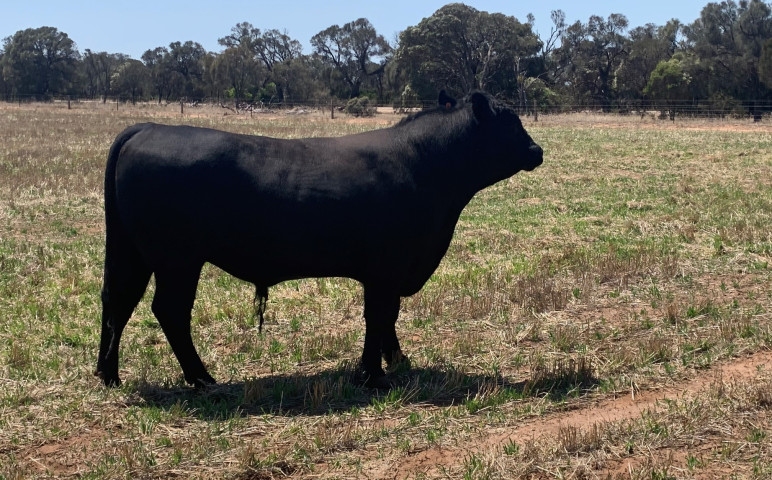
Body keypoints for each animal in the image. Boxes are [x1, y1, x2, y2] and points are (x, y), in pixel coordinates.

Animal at [95, 91, 543, 389]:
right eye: (510, 122)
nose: (537, 151)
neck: (424, 163)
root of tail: (146, 128)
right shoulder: (386, 268)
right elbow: (379, 316)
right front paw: (371, 374)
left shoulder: (390, 271)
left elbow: (389, 318)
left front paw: (397, 361)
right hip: (177, 260)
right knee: (169, 310)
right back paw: (202, 378)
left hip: (134, 253)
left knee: (117, 301)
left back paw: (108, 374)